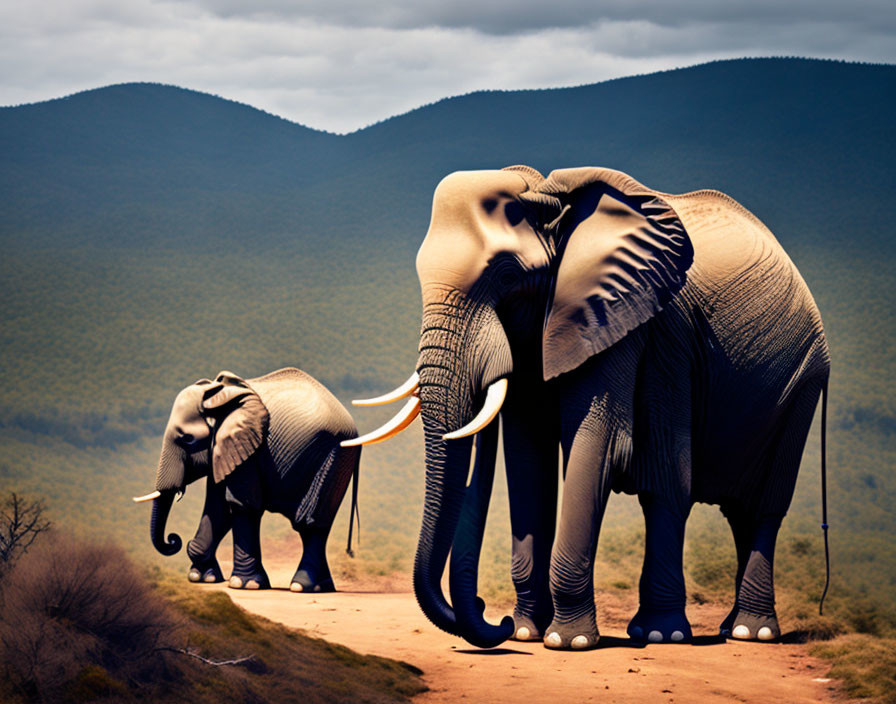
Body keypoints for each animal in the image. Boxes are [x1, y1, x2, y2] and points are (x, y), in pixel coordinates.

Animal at [133, 368, 356, 592]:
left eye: (187, 439)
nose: (173, 539)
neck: (218, 399)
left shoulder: (248, 446)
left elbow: (242, 505)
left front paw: (243, 584)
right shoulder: (226, 449)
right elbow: (218, 507)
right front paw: (203, 577)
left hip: (334, 457)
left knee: (310, 522)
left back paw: (300, 586)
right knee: (315, 527)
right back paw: (321, 587)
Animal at [354, 165, 828, 648]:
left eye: (505, 274)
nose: (493, 616)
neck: (552, 203)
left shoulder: (641, 324)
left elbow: (612, 448)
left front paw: (573, 641)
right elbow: (529, 456)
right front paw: (526, 632)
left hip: (805, 379)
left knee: (763, 506)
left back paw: (745, 632)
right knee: (738, 513)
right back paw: (732, 629)